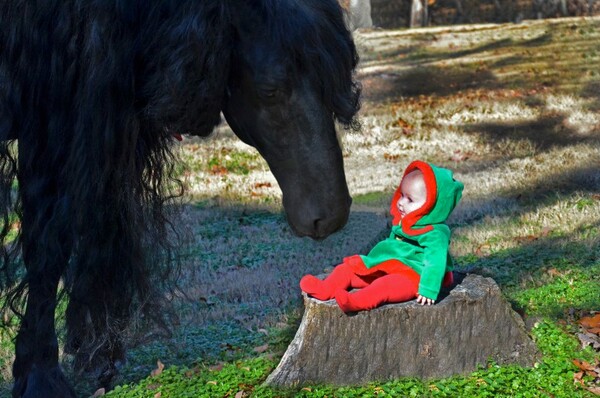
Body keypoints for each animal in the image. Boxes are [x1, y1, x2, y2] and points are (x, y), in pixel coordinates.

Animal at [0, 1, 360, 396]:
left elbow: (49, 250)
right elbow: (47, 249)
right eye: (270, 90)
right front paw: (40, 376)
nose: (332, 215)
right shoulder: (49, 125)